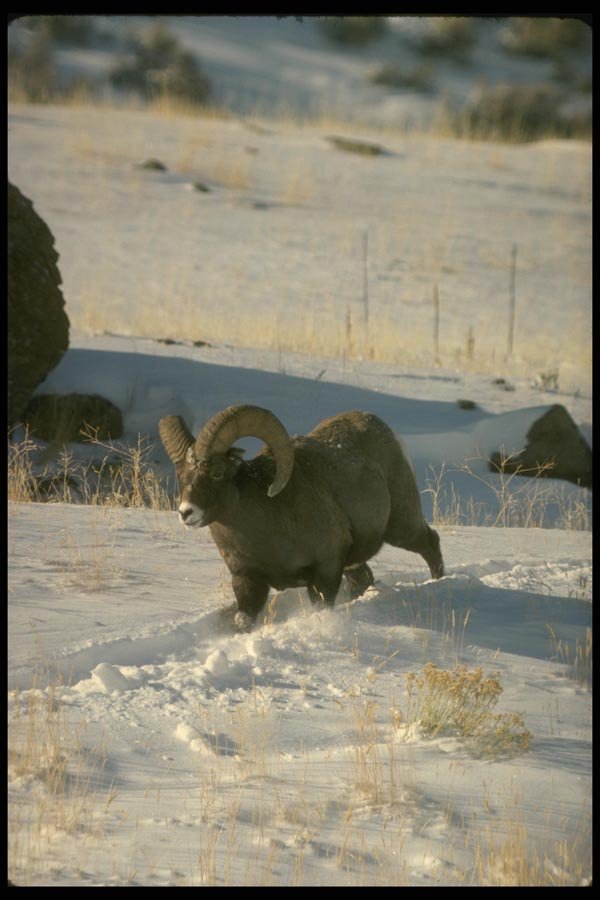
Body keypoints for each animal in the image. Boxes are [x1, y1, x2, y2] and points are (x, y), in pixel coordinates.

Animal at [159, 405, 444, 629]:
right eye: (181, 476)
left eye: (217, 473)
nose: (187, 512)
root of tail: (382, 427)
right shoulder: (247, 581)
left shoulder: (325, 572)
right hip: (358, 560)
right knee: (364, 578)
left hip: (402, 528)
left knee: (430, 543)